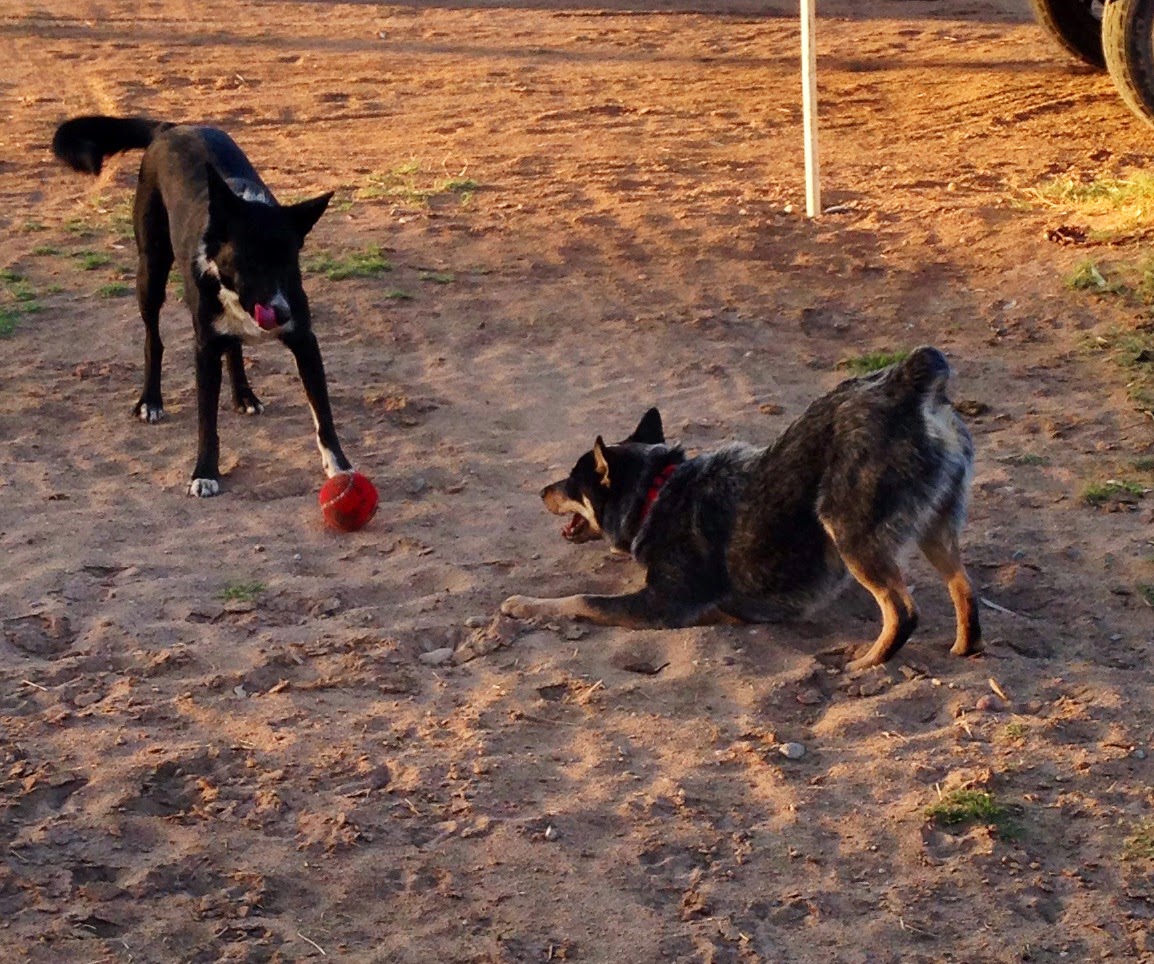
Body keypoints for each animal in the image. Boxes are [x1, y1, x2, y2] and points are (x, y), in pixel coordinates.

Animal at [52, 115, 353, 496]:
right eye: (249, 262)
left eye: (289, 262)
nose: (281, 312)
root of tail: (170, 128)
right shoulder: (205, 348)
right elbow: (206, 421)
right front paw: (205, 472)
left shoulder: (305, 341)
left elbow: (324, 414)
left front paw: (339, 467)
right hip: (150, 270)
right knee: (154, 339)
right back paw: (150, 401)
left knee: (233, 347)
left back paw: (244, 395)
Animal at [502, 347, 982, 671]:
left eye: (570, 482)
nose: (541, 492)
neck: (657, 491)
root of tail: (908, 381)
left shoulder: (659, 606)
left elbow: (579, 599)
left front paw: (522, 604)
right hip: (936, 528)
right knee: (963, 586)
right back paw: (965, 646)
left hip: (848, 530)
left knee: (902, 612)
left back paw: (865, 663)